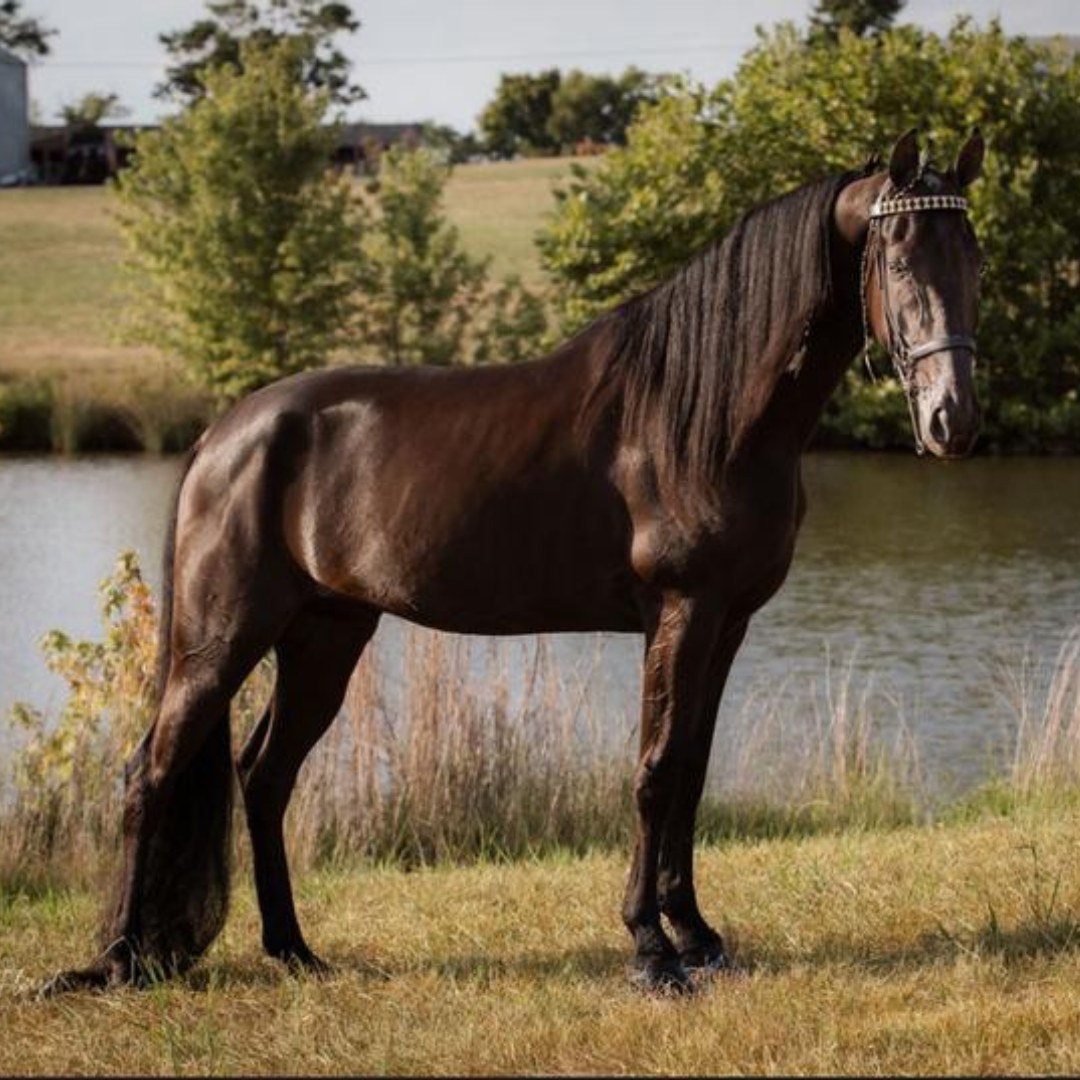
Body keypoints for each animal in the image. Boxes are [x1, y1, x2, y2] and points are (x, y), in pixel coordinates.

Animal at [44, 128, 985, 996]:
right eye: (900, 261)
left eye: (973, 257)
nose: (954, 421)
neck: (703, 414)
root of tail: (221, 434)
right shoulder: (680, 614)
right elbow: (655, 772)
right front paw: (652, 951)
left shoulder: (727, 624)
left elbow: (690, 769)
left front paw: (697, 935)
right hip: (220, 638)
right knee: (151, 773)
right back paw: (119, 960)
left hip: (324, 635)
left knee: (265, 775)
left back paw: (294, 952)